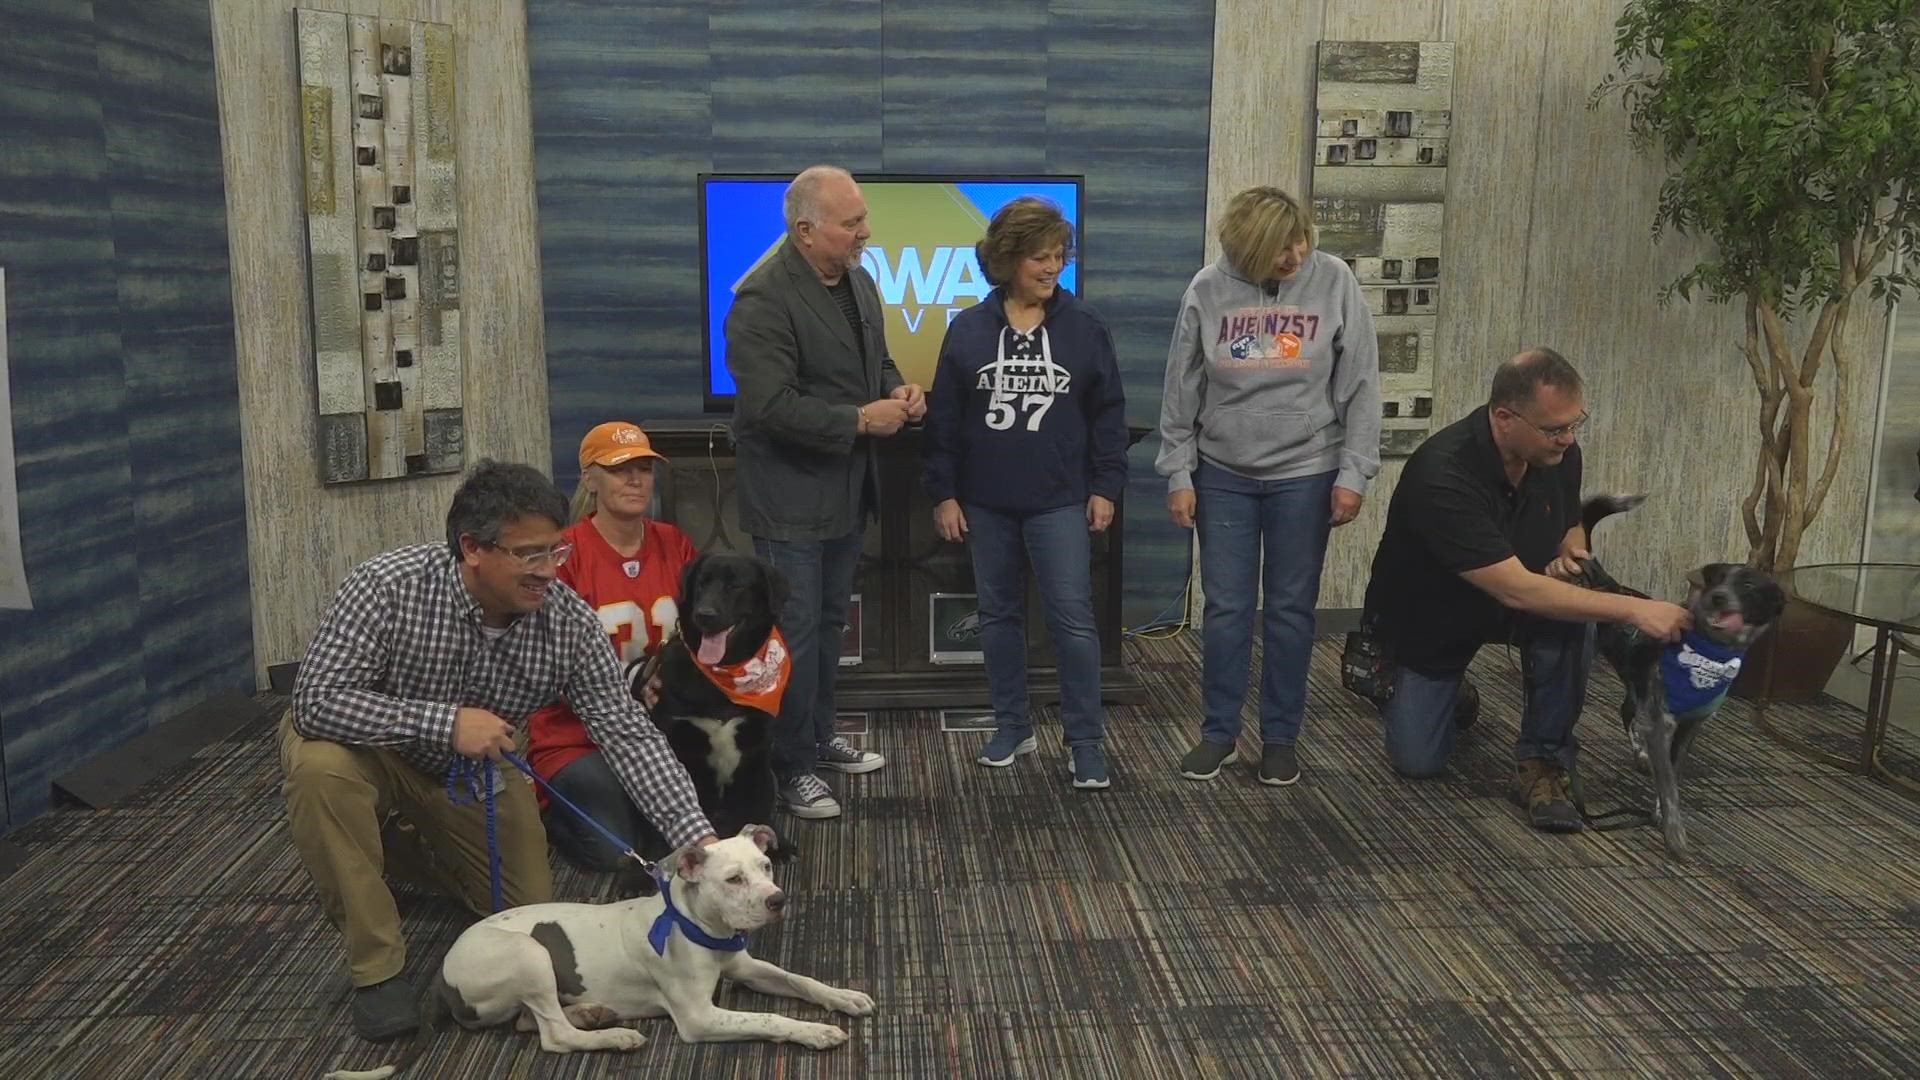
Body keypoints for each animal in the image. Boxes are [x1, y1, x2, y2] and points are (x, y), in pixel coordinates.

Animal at [326, 818, 875, 1068]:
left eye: (765, 867)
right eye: (734, 879)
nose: (778, 900)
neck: (695, 924)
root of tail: (442, 974)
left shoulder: (744, 966)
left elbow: (801, 980)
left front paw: (844, 997)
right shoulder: (699, 1017)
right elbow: (768, 1018)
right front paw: (814, 1032)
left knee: (529, 1021)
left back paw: (592, 1013)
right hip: (530, 954)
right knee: (552, 1035)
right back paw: (614, 1037)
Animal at [622, 553, 787, 857]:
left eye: (736, 586)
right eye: (701, 583)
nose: (704, 615)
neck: (721, 676)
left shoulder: (757, 748)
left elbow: (757, 808)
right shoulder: (676, 743)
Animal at [1574, 491, 1781, 853]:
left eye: (1748, 584)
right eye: (1716, 579)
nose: (1717, 597)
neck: (1708, 653)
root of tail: (1607, 584)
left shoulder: (1689, 728)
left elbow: (1672, 772)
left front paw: (1660, 814)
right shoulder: (1663, 723)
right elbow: (1668, 783)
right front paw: (1673, 832)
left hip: (1635, 685)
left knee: (1627, 711)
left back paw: (1640, 753)